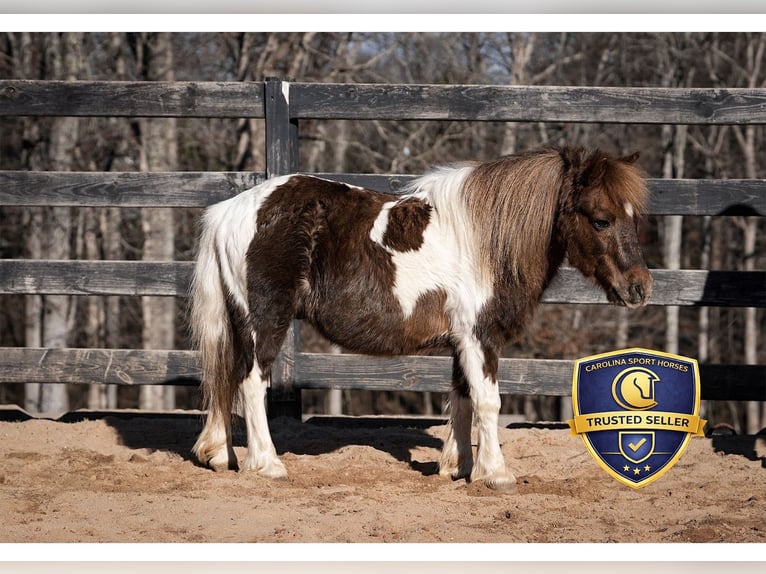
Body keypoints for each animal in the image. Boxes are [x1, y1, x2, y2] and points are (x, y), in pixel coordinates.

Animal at [190, 145, 653, 491]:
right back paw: (267, 464)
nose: (640, 288)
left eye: (635, 217)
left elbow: (463, 398)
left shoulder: (462, 341)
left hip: (241, 324)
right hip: (266, 322)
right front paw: (497, 474)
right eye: (601, 219)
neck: (486, 241)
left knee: (227, 380)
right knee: (251, 384)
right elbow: (488, 401)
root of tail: (230, 210)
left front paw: (459, 467)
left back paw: (221, 455)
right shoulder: (480, 337)